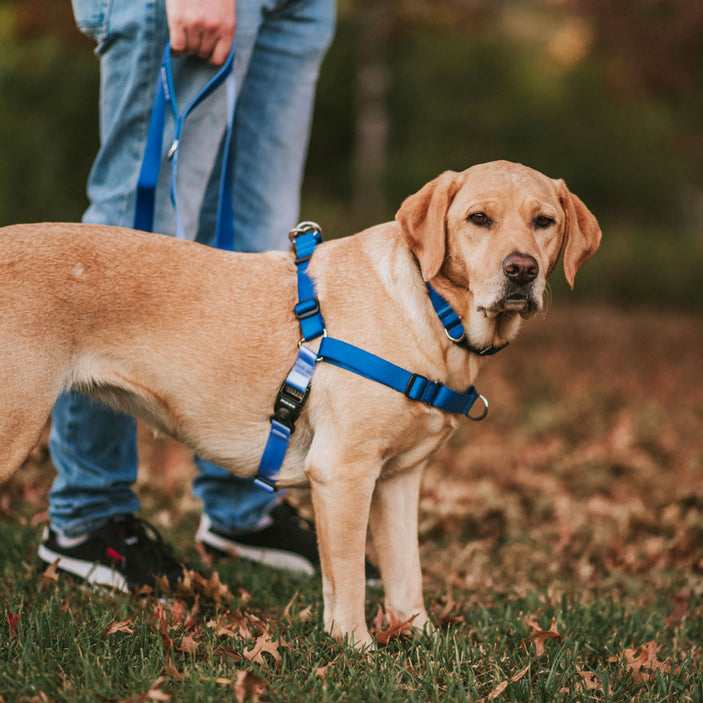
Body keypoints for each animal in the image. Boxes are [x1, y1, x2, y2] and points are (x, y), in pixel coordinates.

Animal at [1, 161, 604, 648]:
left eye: (544, 222)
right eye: (479, 219)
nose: (521, 270)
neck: (434, 312)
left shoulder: (399, 479)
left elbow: (406, 574)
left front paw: (423, 640)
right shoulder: (343, 473)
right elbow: (348, 580)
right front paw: (358, 651)